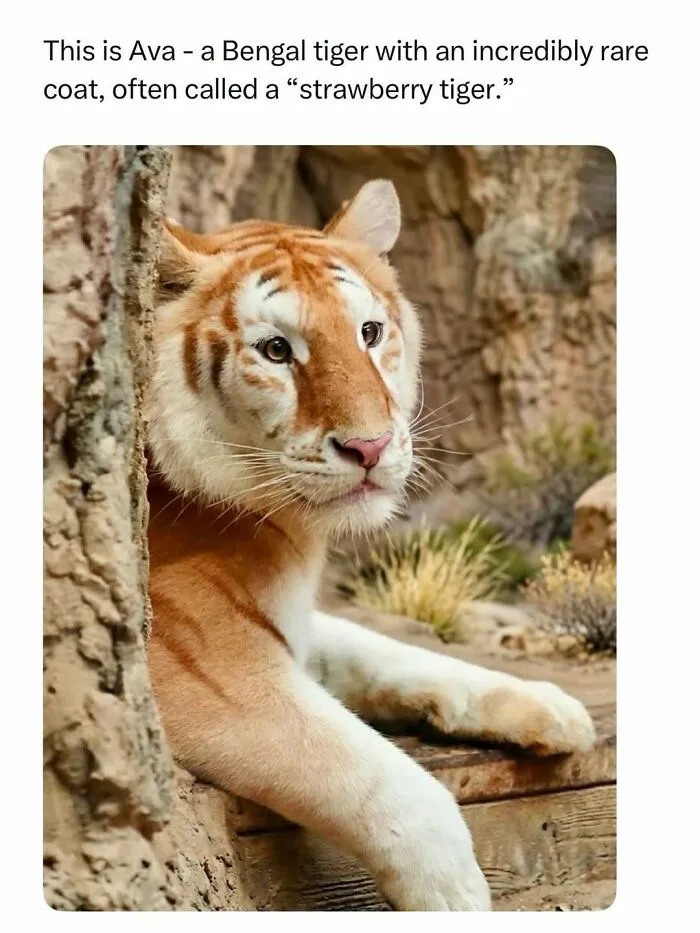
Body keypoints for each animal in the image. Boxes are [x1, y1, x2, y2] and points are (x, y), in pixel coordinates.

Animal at [145, 178, 596, 911]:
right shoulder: (203, 669)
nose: (371, 446)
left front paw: (550, 705)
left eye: (369, 332)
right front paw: (457, 895)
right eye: (276, 350)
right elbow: (387, 780)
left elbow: (392, 651)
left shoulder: (292, 622)